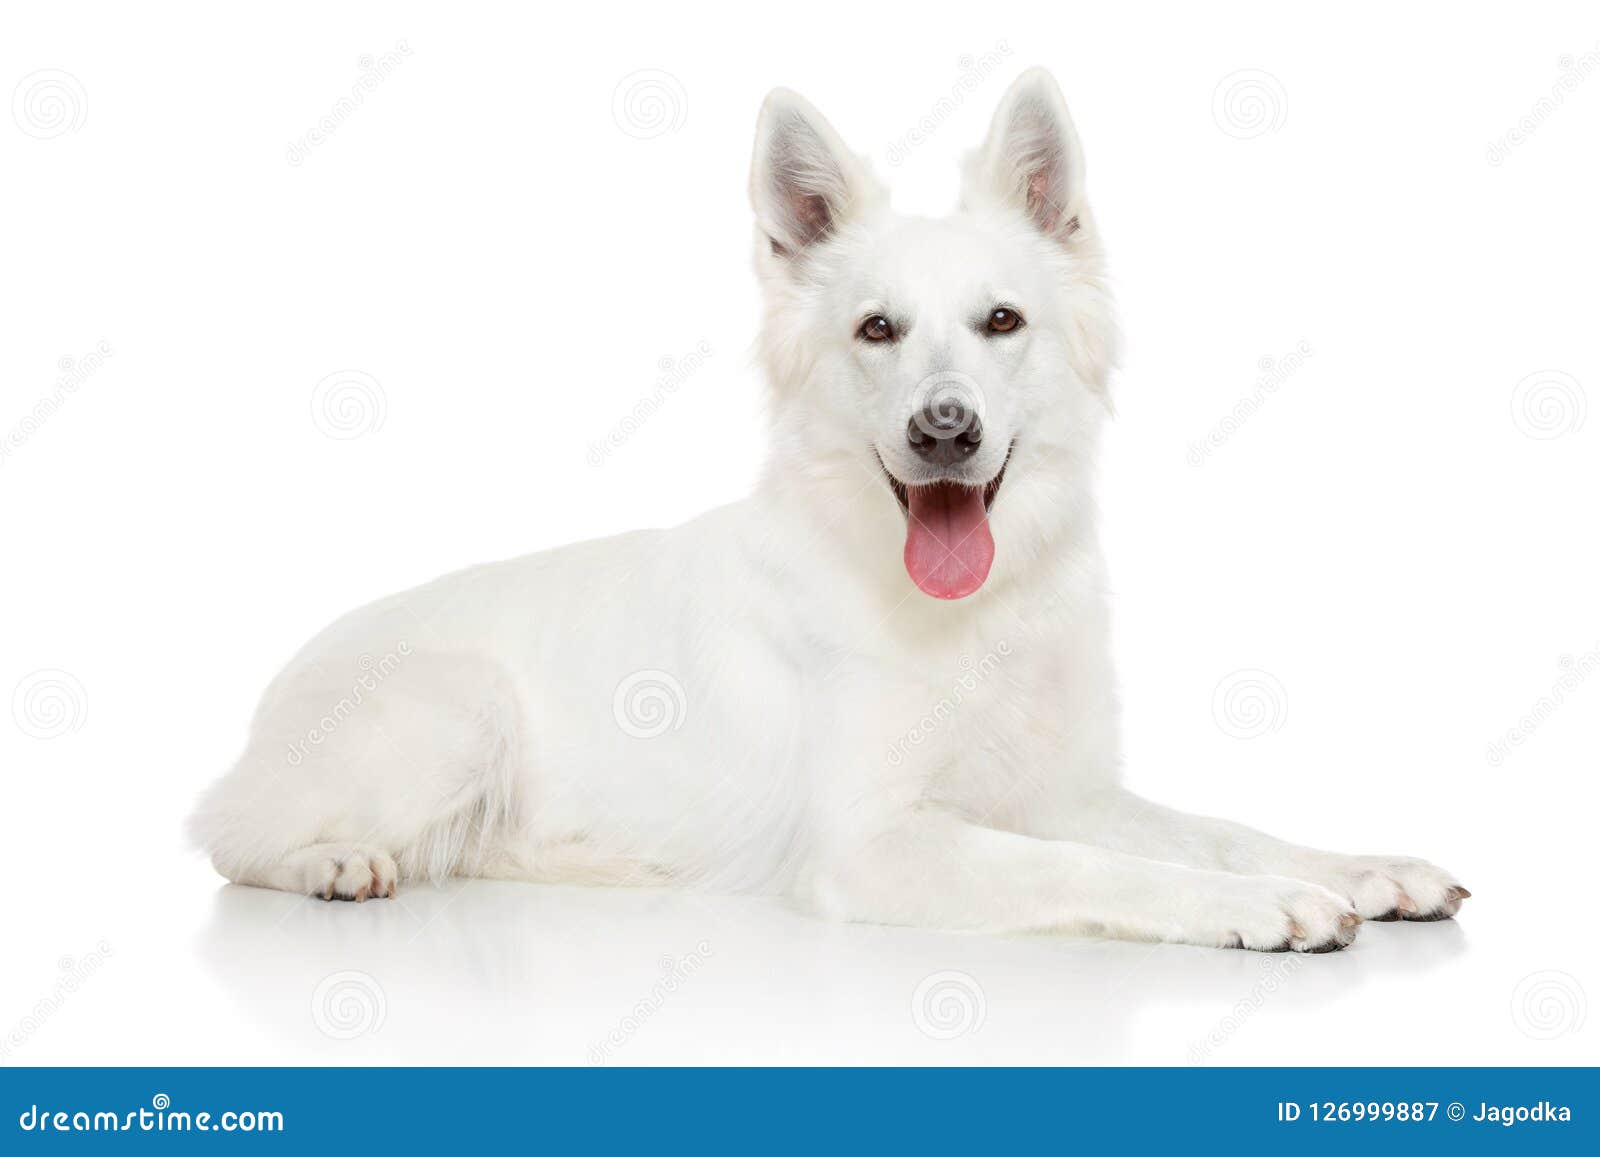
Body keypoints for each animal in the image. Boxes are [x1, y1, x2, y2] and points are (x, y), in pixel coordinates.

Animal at [187, 74, 1465, 960]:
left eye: (1001, 321)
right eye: (876, 329)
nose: (943, 430)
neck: (972, 613)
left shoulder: (1065, 793)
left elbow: (1211, 823)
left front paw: (1356, 866)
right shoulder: (880, 844)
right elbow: (1094, 870)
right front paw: (1264, 902)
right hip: (461, 712)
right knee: (228, 839)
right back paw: (334, 859)